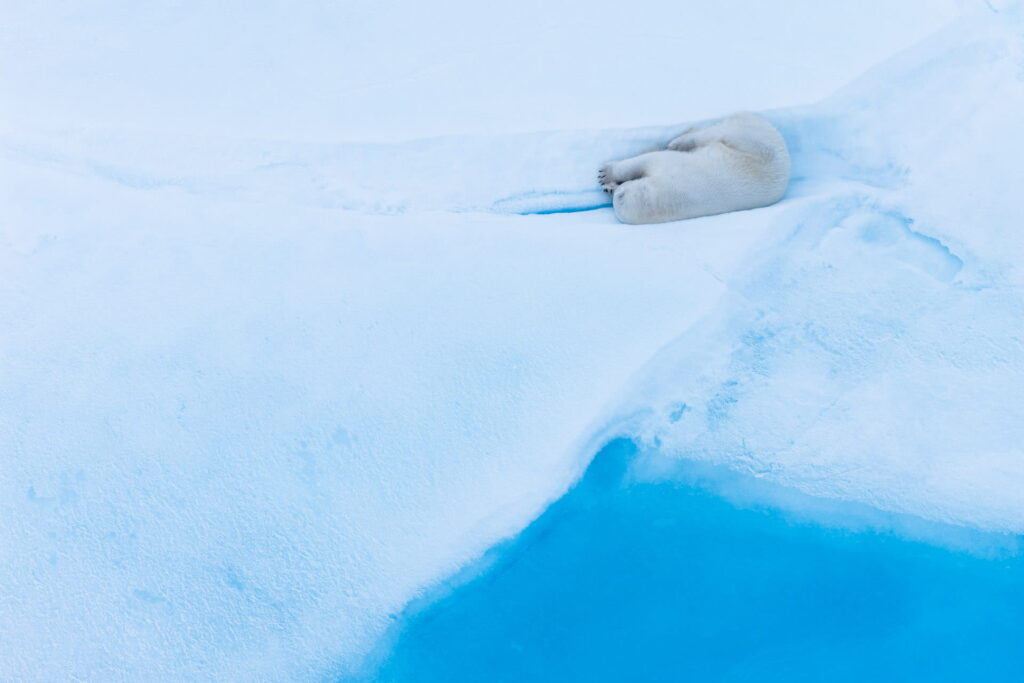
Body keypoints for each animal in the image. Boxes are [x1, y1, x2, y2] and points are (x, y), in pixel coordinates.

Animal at [598, 112, 791, 224]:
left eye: (621, 197)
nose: (616, 191)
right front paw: (609, 185)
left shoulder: (673, 168)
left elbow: (643, 161)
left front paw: (606, 174)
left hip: (755, 143)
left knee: (720, 133)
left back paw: (679, 141)